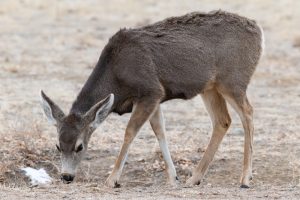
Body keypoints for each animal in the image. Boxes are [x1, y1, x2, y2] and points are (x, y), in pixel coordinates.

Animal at [41, 10, 264, 188]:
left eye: (80, 146)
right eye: (58, 145)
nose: (66, 176)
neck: (116, 73)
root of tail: (259, 31)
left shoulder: (150, 90)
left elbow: (130, 131)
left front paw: (112, 179)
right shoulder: (155, 97)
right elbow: (160, 131)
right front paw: (173, 178)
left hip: (233, 81)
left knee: (248, 113)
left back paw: (245, 178)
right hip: (210, 87)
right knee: (223, 120)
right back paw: (195, 178)